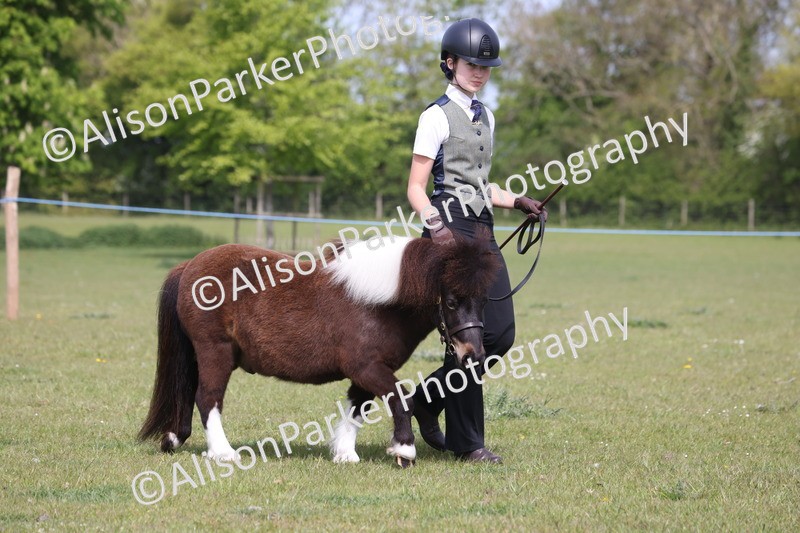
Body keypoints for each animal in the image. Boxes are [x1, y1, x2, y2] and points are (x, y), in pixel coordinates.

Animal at [138, 231, 499, 467]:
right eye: (451, 301)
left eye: (484, 300)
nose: (474, 354)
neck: (377, 301)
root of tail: (190, 265)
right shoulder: (368, 367)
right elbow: (401, 398)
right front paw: (403, 450)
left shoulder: (366, 372)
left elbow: (357, 408)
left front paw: (345, 454)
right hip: (215, 351)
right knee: (207, 398)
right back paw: (223, 452)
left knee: (187, 394)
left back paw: (174, 438)